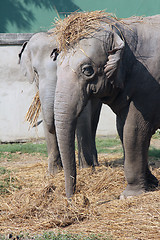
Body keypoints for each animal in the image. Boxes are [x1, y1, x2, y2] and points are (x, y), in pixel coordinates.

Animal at [18, 31, 101, 174]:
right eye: (36, 72)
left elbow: (83, 117)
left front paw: (86, 170)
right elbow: (46, 115)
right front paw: (54, 173)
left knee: (94, 120)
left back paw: (94, 164)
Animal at [54, 11, 160, 199]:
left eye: (87, 70)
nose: (71, 198)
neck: (120, 30)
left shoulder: (149, 86)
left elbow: (133, 130)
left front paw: (129, 195)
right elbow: (121, 128)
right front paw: (152, 184)